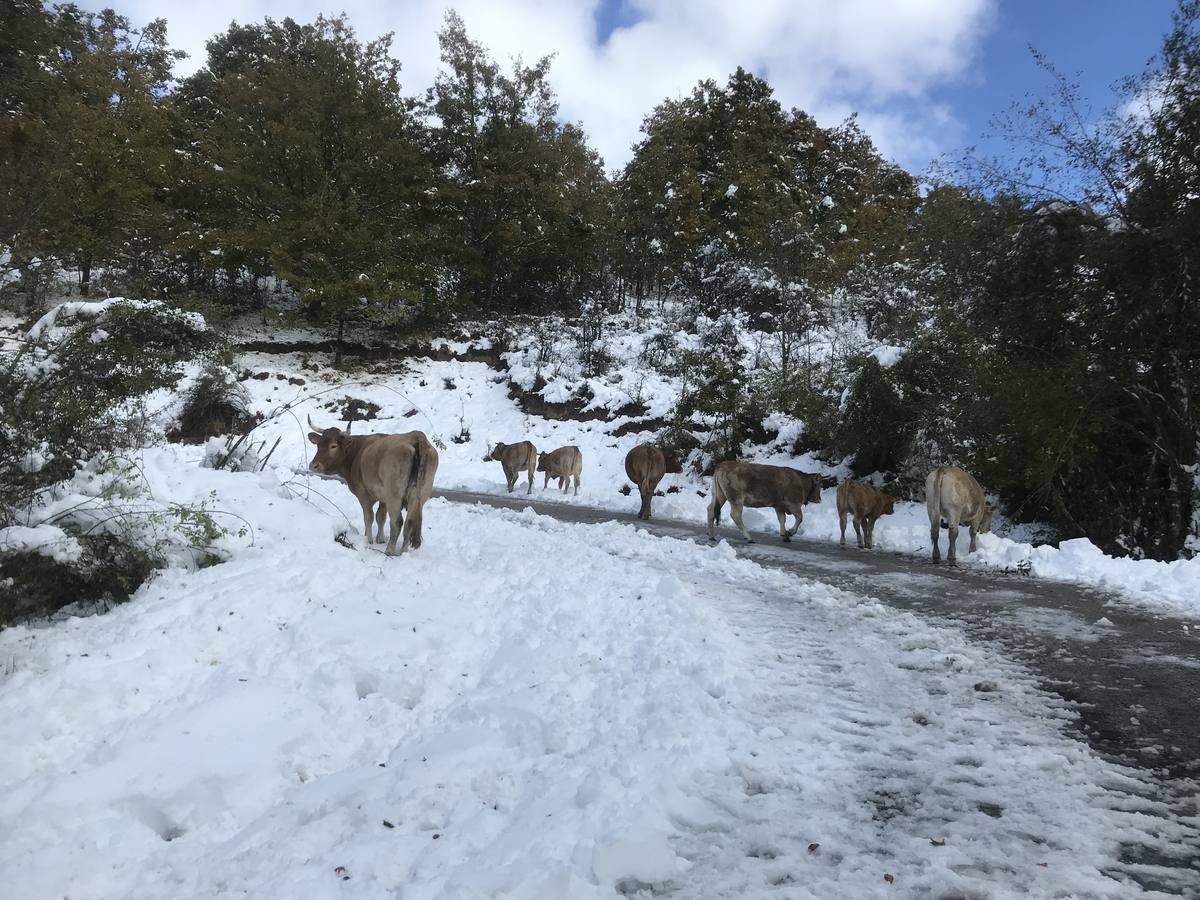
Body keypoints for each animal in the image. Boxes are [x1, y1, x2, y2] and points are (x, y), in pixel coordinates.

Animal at [309, 417, 441, 556]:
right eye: (318, 445)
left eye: (333, 446)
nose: (313, 465)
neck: (357, 453)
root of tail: (417, 436)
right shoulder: (383, 498)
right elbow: (380, 516)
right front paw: (379, 539)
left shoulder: (363, 493)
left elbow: (368, 517)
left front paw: (369, 540)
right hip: (419, 496)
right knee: (409, 523)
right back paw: (403, 552)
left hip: (394, 496)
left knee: (397, 522)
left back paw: (389, 551)